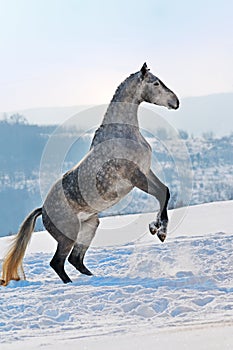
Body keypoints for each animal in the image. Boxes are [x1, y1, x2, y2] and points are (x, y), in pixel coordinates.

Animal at [0, 63, 179, 288]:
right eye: (155, 83)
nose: (176, 102)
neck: (123, 133)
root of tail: (43, 210)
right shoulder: (135, 176)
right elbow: (161, 194)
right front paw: (158, 231)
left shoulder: (146, 171)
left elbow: (165, 191)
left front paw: (156, 228)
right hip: (68, 235)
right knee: (58, 262)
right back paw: (73, 285)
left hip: (89, 226)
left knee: (75, 259)